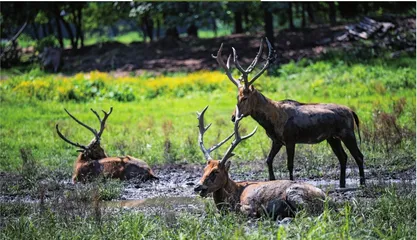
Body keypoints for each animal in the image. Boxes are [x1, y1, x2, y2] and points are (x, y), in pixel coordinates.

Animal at [193, 105, 324, 219]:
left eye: (216, 171)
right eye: (204, 169)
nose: (197, 186)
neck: (234, 194)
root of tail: (325, 197)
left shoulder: (248, 204)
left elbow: (243, 211)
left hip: (295, 193)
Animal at [213, 38, 366, 188]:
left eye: (244, 98)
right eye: (236, 97)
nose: (233, 117)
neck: (271, 122)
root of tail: (352, 112)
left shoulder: (290, 139)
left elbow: (290, 165)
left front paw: (291, 182)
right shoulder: (277, 140)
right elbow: (268, 160)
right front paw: (272, 179)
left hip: (347, 133)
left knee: (359, 156)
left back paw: (362, 183)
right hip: (332, 137)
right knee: (343, 157)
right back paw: (342, 184)